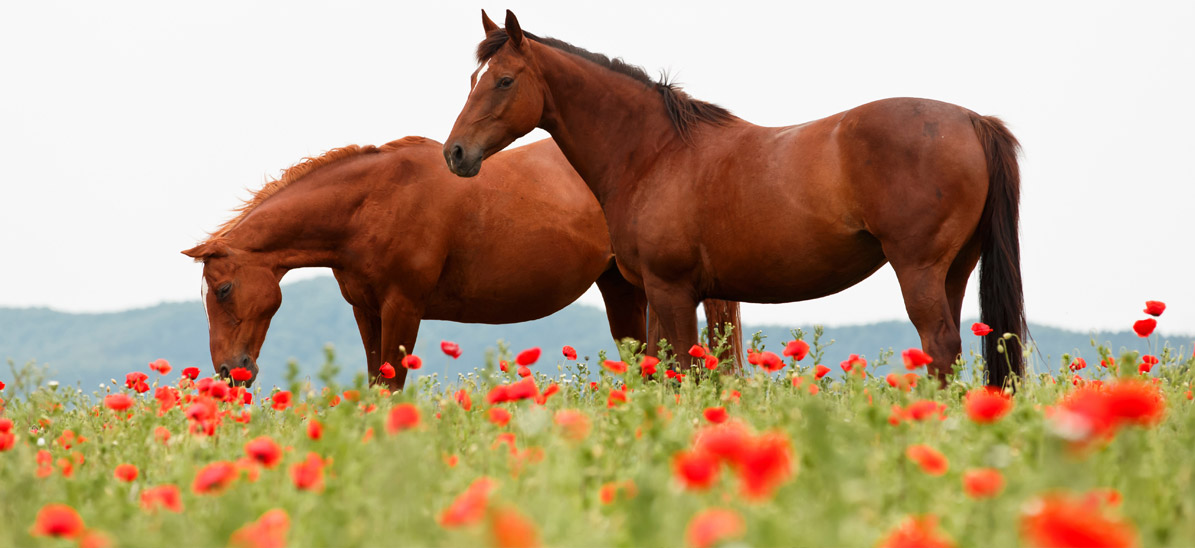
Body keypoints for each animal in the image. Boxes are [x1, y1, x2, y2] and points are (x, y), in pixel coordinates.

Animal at [181, 137, 740, 391]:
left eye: (223, 289)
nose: (230, 372)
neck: (372, 203)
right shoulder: (366, 311)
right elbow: (373, 382)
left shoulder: (403, 308)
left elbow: (390, 385)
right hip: (625, 288)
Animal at [444, 9, 1022, 386]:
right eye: (473, 77)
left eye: (504, 81)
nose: (455, 153)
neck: (655, 151)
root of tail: (972, 120)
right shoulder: (660, 294)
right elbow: (662, 370)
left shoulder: (673, 290)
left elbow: (683, 371)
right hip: (953, 271)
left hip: (918, 270)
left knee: (939, 346)